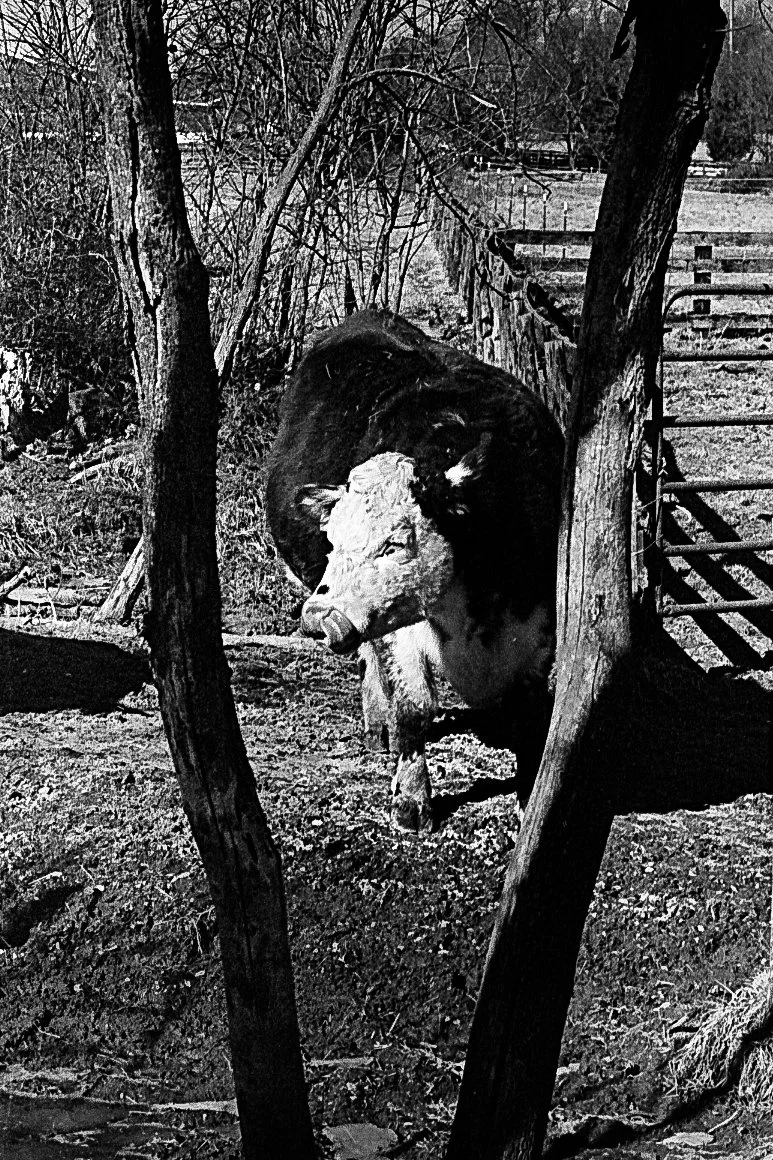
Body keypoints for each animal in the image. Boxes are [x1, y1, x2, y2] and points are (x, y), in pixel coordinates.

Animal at [265, 310, 563, 831]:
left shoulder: (538, 627)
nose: (321, 615)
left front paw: (530, 804)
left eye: (396, 542)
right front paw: (410, 801)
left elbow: (529, 719)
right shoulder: (396, 626)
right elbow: (413, 707)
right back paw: (377, 724)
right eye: (332, 540)